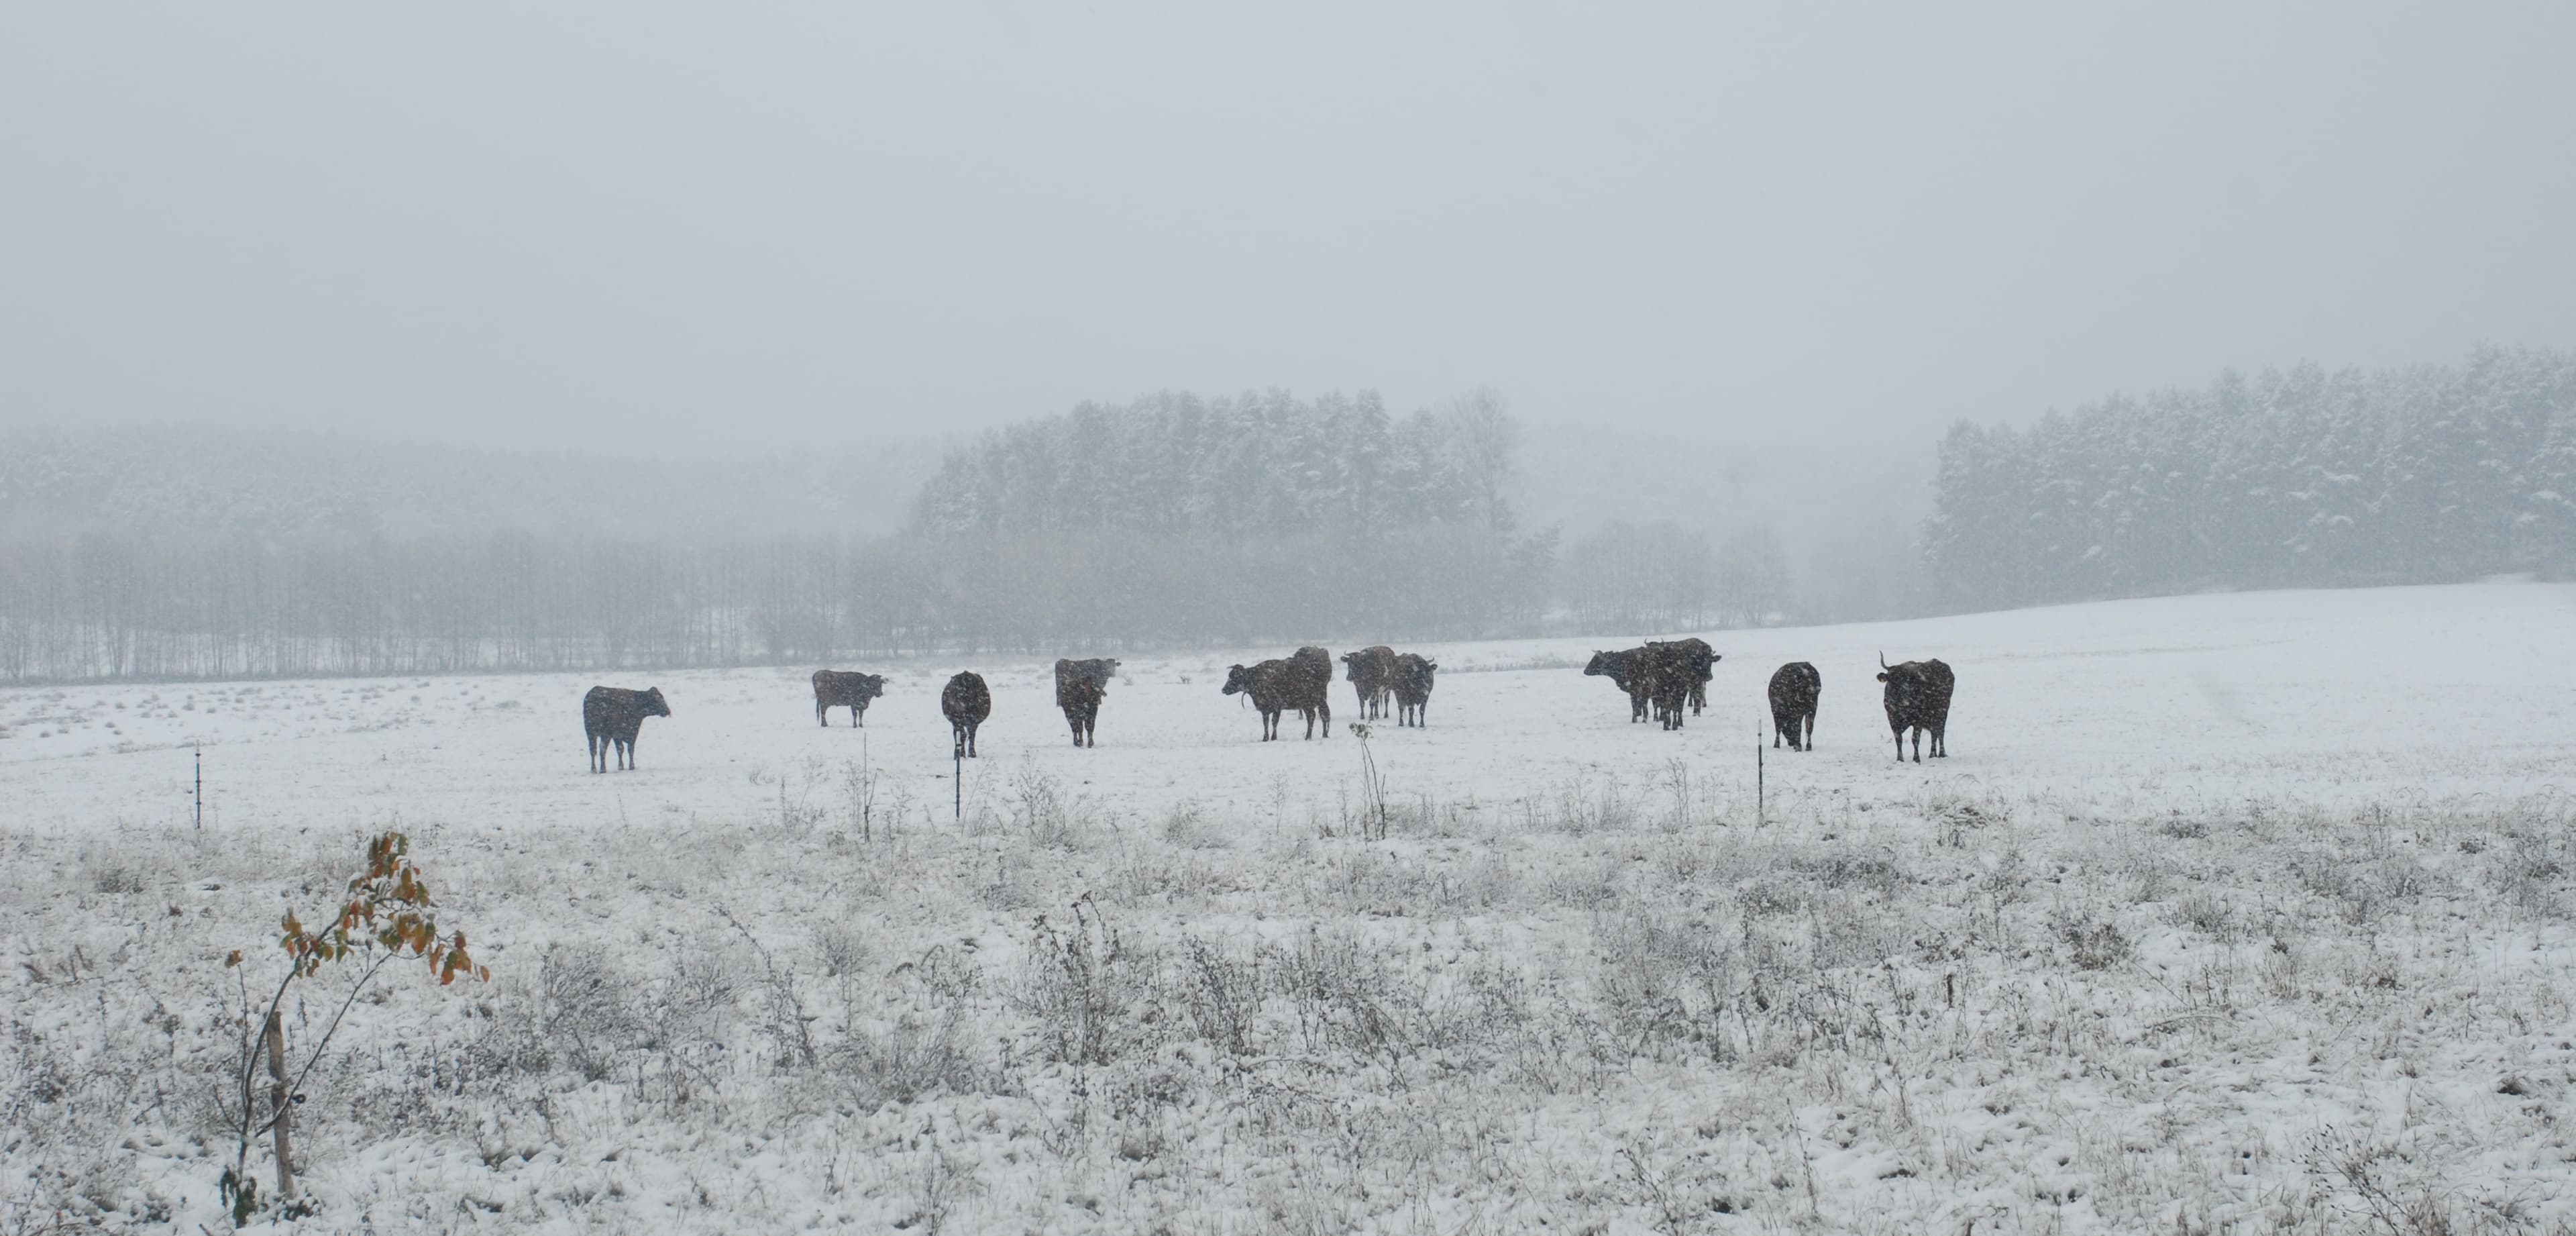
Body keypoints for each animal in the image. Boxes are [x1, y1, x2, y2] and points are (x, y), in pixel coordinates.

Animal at [582, 684, 669, 772]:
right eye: (656, 700)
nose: (668, 711)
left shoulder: (617, 736)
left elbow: (620, 749)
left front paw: (621, 767)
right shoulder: (632, 732)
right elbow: (630, 749)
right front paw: (631, 766)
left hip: (591, 733)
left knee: (593, 750)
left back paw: (594, 770)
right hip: (605, 734)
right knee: (602, 749)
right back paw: (602, 769)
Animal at [943, 669, 989, 757]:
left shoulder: (974, 720)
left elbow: (970, 735)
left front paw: (971, 754)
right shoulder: (956, 720)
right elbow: (961, 735)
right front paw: (960, 754)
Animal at [1051, 659, 1123, 746]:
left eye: (1113, 666)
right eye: (1106, 666)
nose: (1112, 673)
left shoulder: (1092, 711)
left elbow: (1089, 726)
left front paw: (1090, 743)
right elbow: (1079, 728)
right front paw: (1081, 742)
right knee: (1075, 727)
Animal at [1762, 659, 1823, 746]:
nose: (1791, 743)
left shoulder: (1776, 711)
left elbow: (1778, 729)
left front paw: (1776, 745)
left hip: (1800, 709)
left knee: (1799, 727)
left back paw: (1799, 746)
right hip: (1813, 707)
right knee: (1810, 728)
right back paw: (1808, 747)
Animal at [1875, 656, 1947, 762]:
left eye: (1906, 680)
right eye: (1890, 680)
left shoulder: (1918, 720)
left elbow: (1915, 739)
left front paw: (1916, 759)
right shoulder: (1892, 718)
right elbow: (1898, 739)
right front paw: (1900, 759)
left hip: (1942, 712)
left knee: (1940, 732)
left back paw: (1942, 754)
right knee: (1934, 733)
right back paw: (1933, 754)